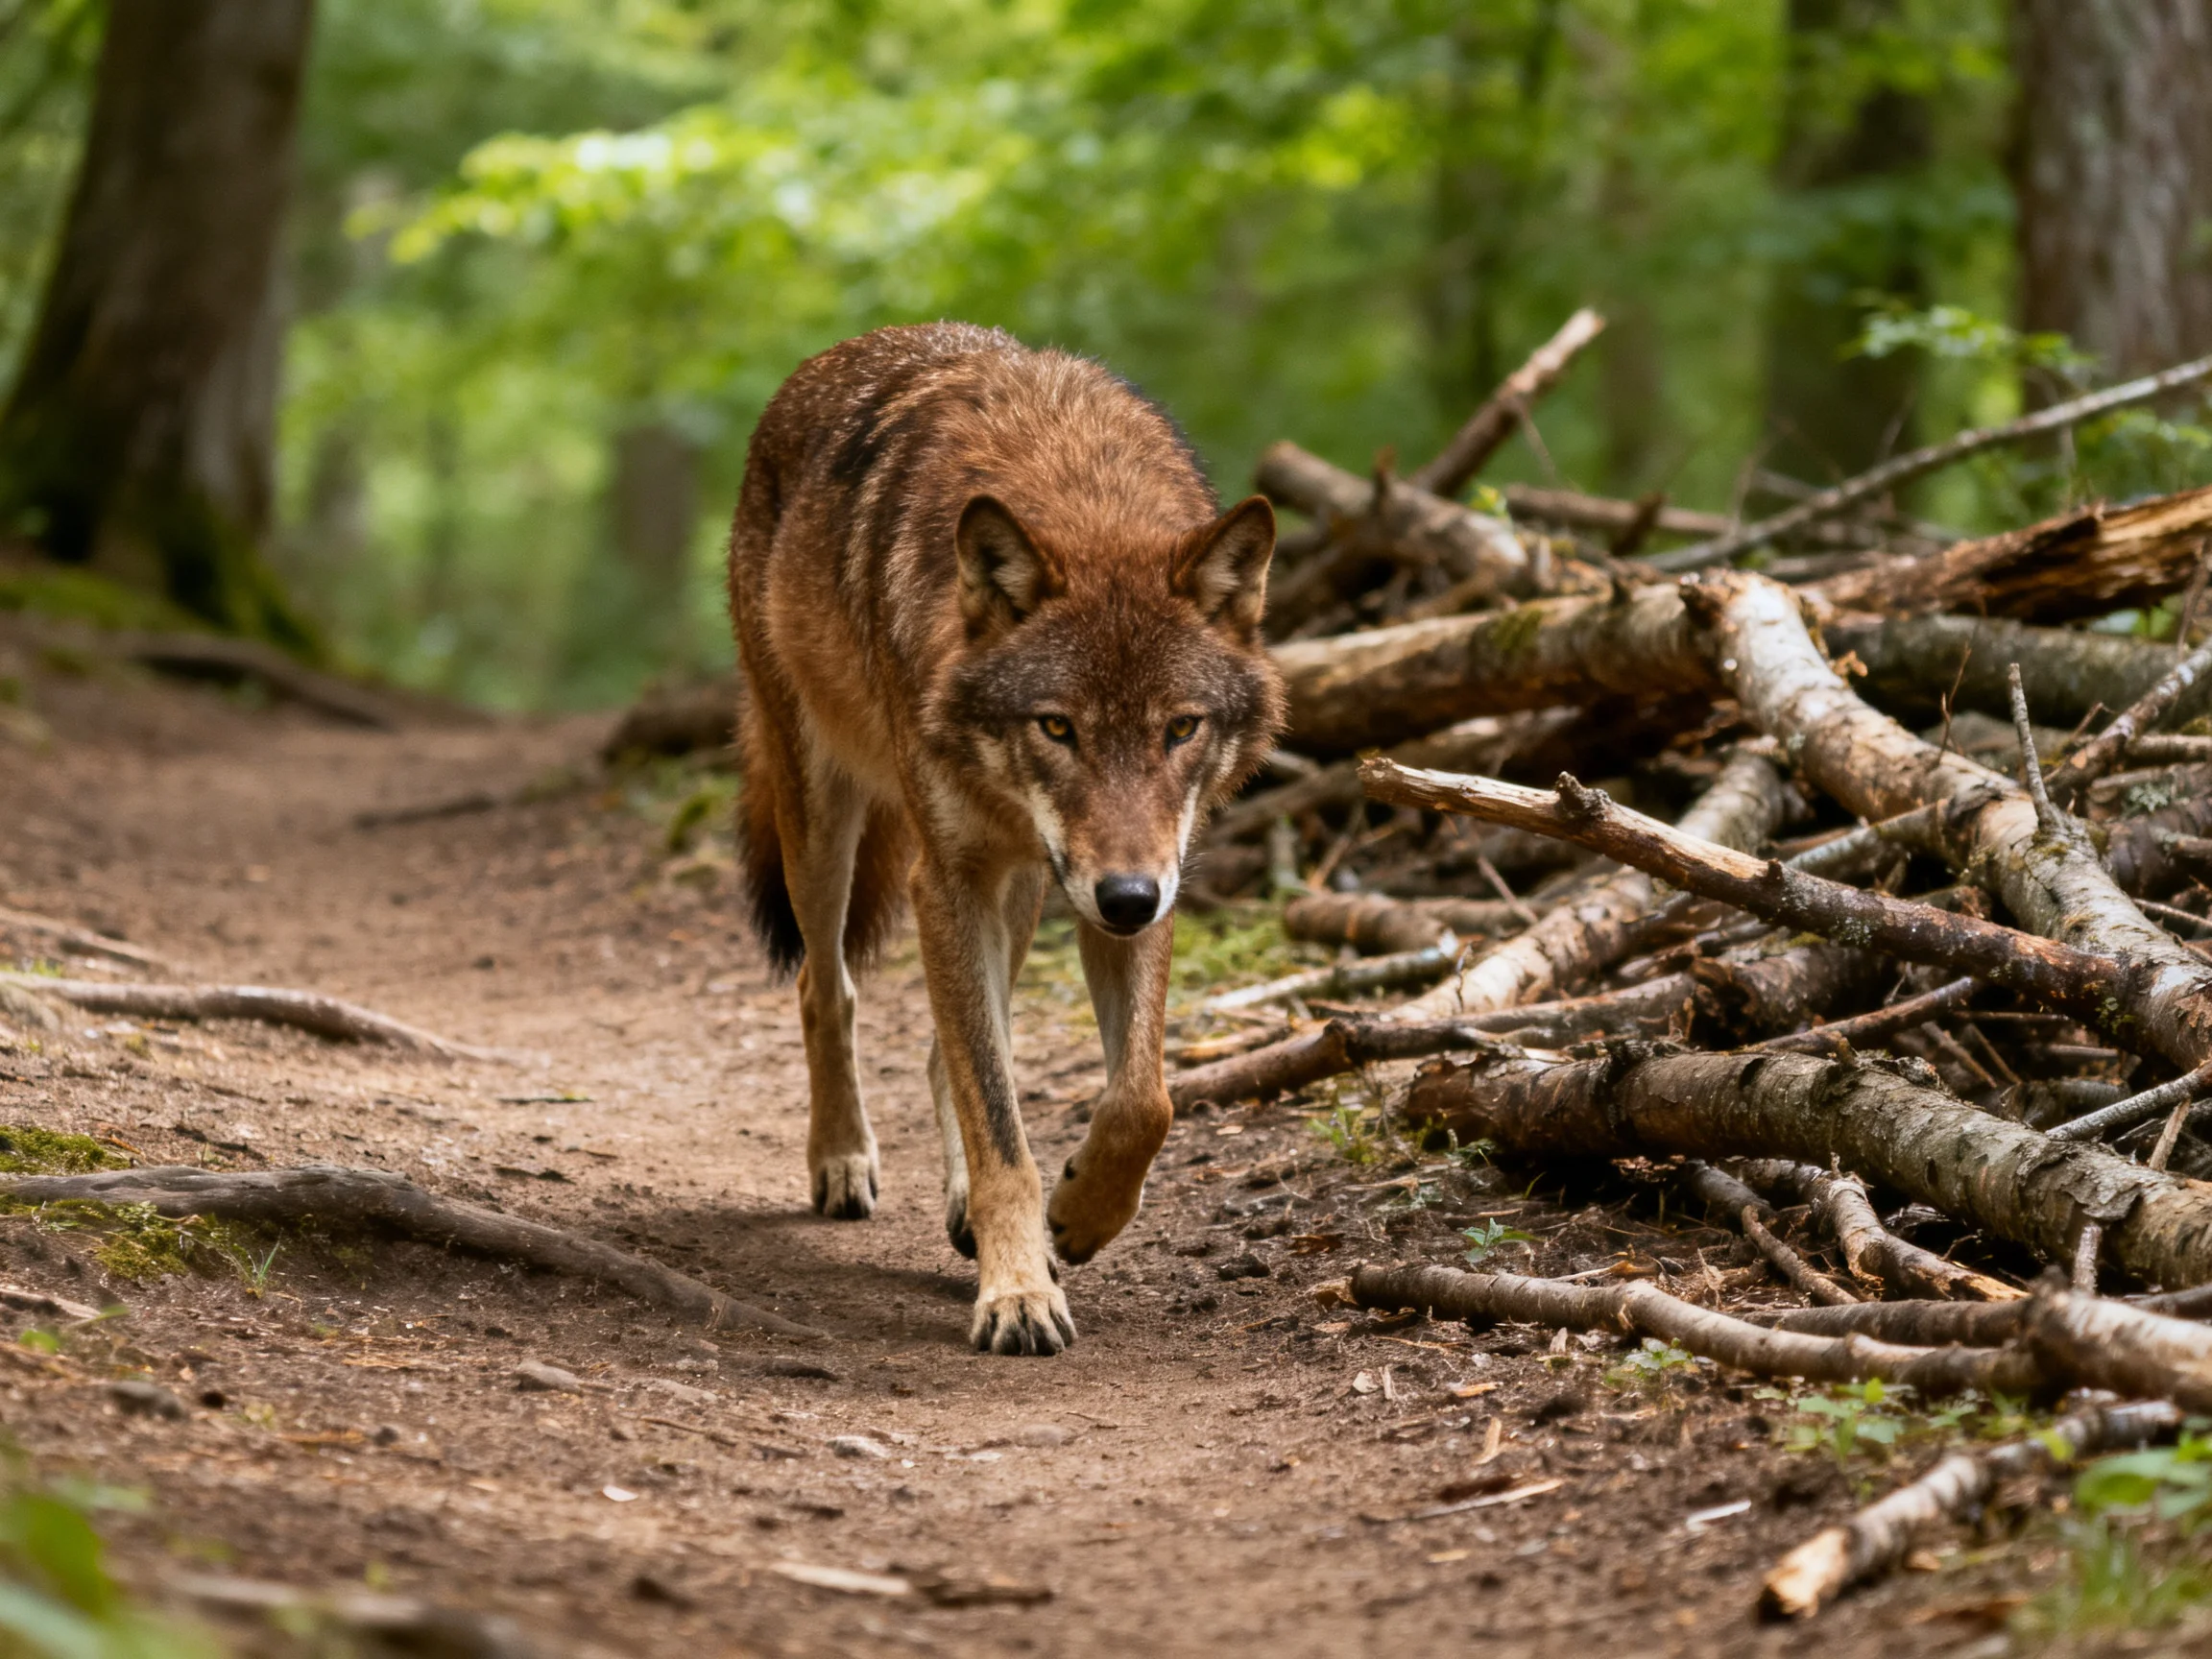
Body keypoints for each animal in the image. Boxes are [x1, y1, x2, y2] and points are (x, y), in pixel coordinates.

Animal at [728, 323, 1283, 1355]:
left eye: (1179, 729)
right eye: (1057, 726)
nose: (1126, 900)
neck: (1074, 483)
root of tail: (826, 361)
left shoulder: (1144, 878)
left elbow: (1142, 1100)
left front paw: (1078, 1218)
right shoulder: (945, 879)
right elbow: (1001, 1128)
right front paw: (1018, 1291)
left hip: (1025, 886)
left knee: (945, 1049)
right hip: (823, 822)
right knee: (826, 985)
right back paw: (842, 1160)